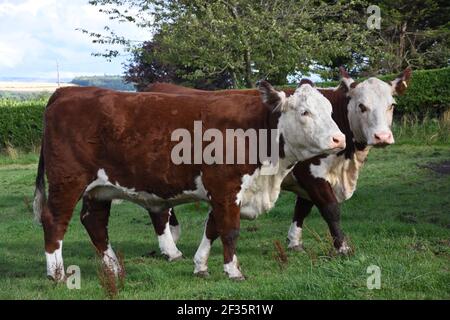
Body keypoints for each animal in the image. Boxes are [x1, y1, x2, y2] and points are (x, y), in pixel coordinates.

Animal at [34, 81, 344, 282]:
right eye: (305, 112)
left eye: (331, 111)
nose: (339, 139)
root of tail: (68, 91)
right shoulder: (225, 187)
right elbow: (229, 230)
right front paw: (233, 271)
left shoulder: (222, 192)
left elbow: (212, 229)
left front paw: (201, 266)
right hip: (68, 181)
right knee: (54, 221)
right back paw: (56, 273)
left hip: (99, 189)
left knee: (95, 222)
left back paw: (113, 269)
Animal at [147, 67, 412, 258]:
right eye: (361, 106)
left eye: (391, 105)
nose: (382, 137)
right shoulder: (312, 174)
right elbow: (330, 209)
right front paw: (343, 248)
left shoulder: (305, 182)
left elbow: (302, 209)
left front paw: (295, 242)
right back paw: (170, 247)